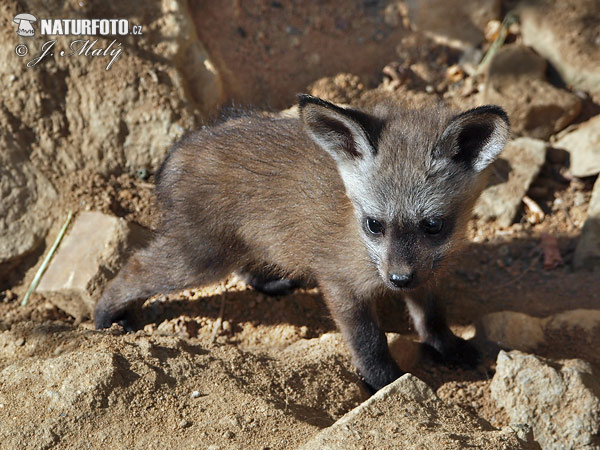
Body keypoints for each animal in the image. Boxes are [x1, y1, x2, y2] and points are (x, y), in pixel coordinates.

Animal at [96, 94, 508, 390]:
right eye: (374, 225)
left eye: (434, 226)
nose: (398, 280)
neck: (357, 235)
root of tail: (179, 151)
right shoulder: (342, 284)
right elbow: (369, 343)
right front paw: (386, 383)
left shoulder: (428, 273)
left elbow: (432, 318)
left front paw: (447, 347)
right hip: (199, 259)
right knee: (134, 268)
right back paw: (105, 318)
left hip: (245, 242)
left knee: (246, 267)